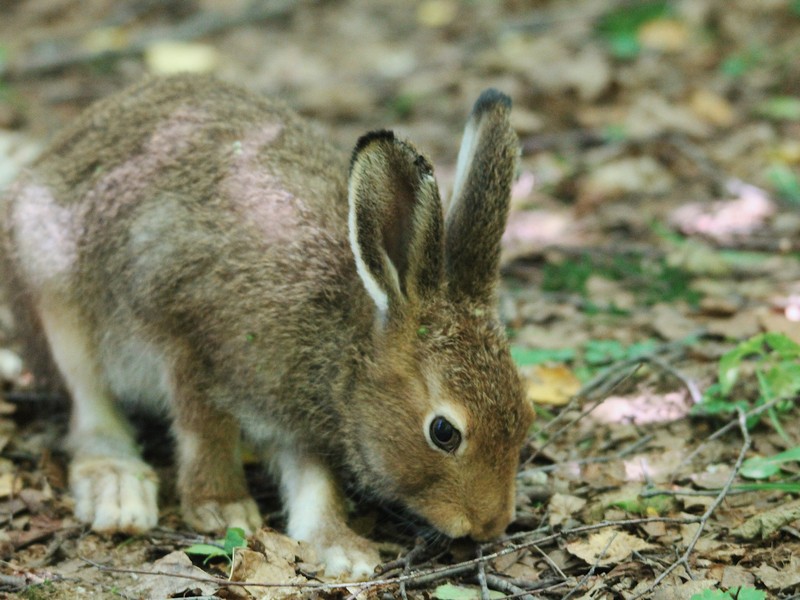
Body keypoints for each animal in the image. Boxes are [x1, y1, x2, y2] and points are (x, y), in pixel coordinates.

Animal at [0, 74, 533, 579]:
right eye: (444, 432)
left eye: (527, 415)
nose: (491, 524)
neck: (342, 340)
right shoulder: (187, 337)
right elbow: (204, 429)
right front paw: (222, 507)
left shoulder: (295, 419)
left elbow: (315, 482)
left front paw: (342, 548)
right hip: (59, 302)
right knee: (88, 406)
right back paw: (118, 486)